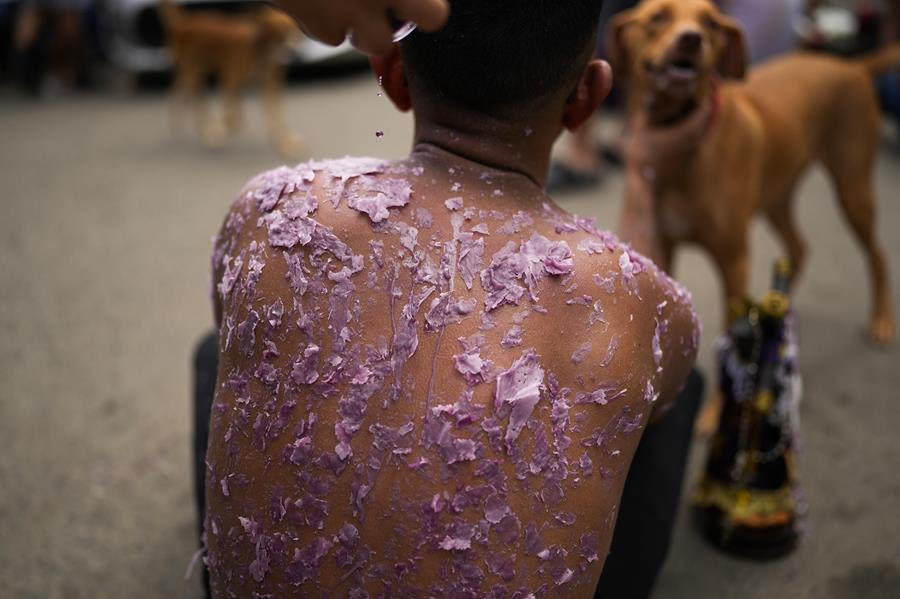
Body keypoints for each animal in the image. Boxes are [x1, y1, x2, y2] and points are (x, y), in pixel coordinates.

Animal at [161, 0, 302, 157]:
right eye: (280, 34)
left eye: (296, 32)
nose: (295, 53)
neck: (261, 52)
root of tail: (183, 22)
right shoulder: (229, 82)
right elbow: (234, 119)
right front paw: (220, 131)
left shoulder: (270, 88)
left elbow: (276, 117)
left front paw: (284, 144)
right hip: (194, 72)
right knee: (197, 102)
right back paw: (206, 131)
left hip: (191, 72)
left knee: (178, 91)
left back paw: (180, 124)